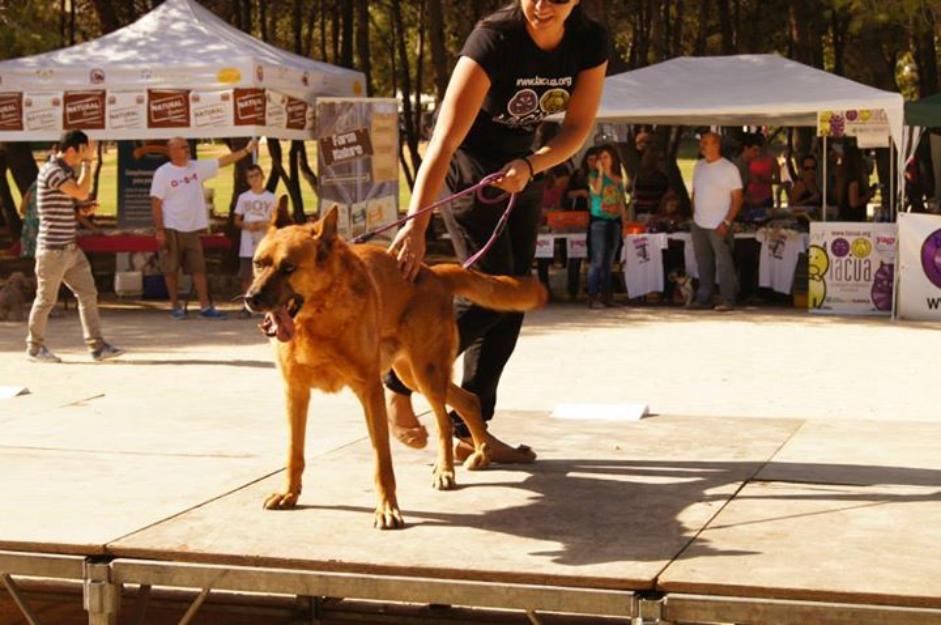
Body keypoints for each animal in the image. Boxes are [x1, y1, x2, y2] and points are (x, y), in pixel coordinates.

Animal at [246, 208, 548, 528]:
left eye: (288, 267)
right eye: (258, 264)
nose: (251, 299)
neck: (318, 318)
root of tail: (434, 273)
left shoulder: (370, 392)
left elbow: (382, 462)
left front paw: (387, 508)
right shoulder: (295, 392)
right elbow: (294, 452)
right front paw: (289, 493)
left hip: (426, 373)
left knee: (443, 421)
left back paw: (446, 469)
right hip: (413, 374)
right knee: (468, 400)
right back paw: (481, 453)